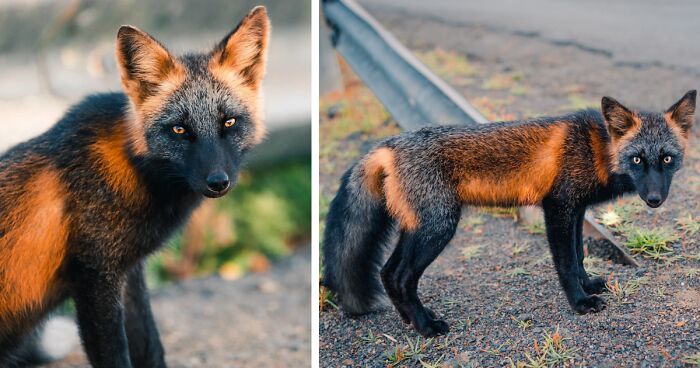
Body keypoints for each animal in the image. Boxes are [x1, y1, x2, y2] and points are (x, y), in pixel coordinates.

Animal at [0, 6, 270, 368]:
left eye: (229, 122)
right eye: (179, 130)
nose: (218, 182)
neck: (134, 169)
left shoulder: (129, 273)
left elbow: (151, 346)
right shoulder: (95, 277)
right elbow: (116, 355)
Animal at [322, 90, 696, 336]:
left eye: (667, 159)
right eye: (637, 159)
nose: (654, 199)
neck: (596, 148)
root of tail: (388, 144)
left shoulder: (576, 210)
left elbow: (578, 255)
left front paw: (589, 284)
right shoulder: (557, 208)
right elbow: (565, 263)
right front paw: (579, 302)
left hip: (419, 228)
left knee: (387, 273)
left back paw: (412, 319)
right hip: (438, 227)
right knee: (398, 276)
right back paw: (426, 326)